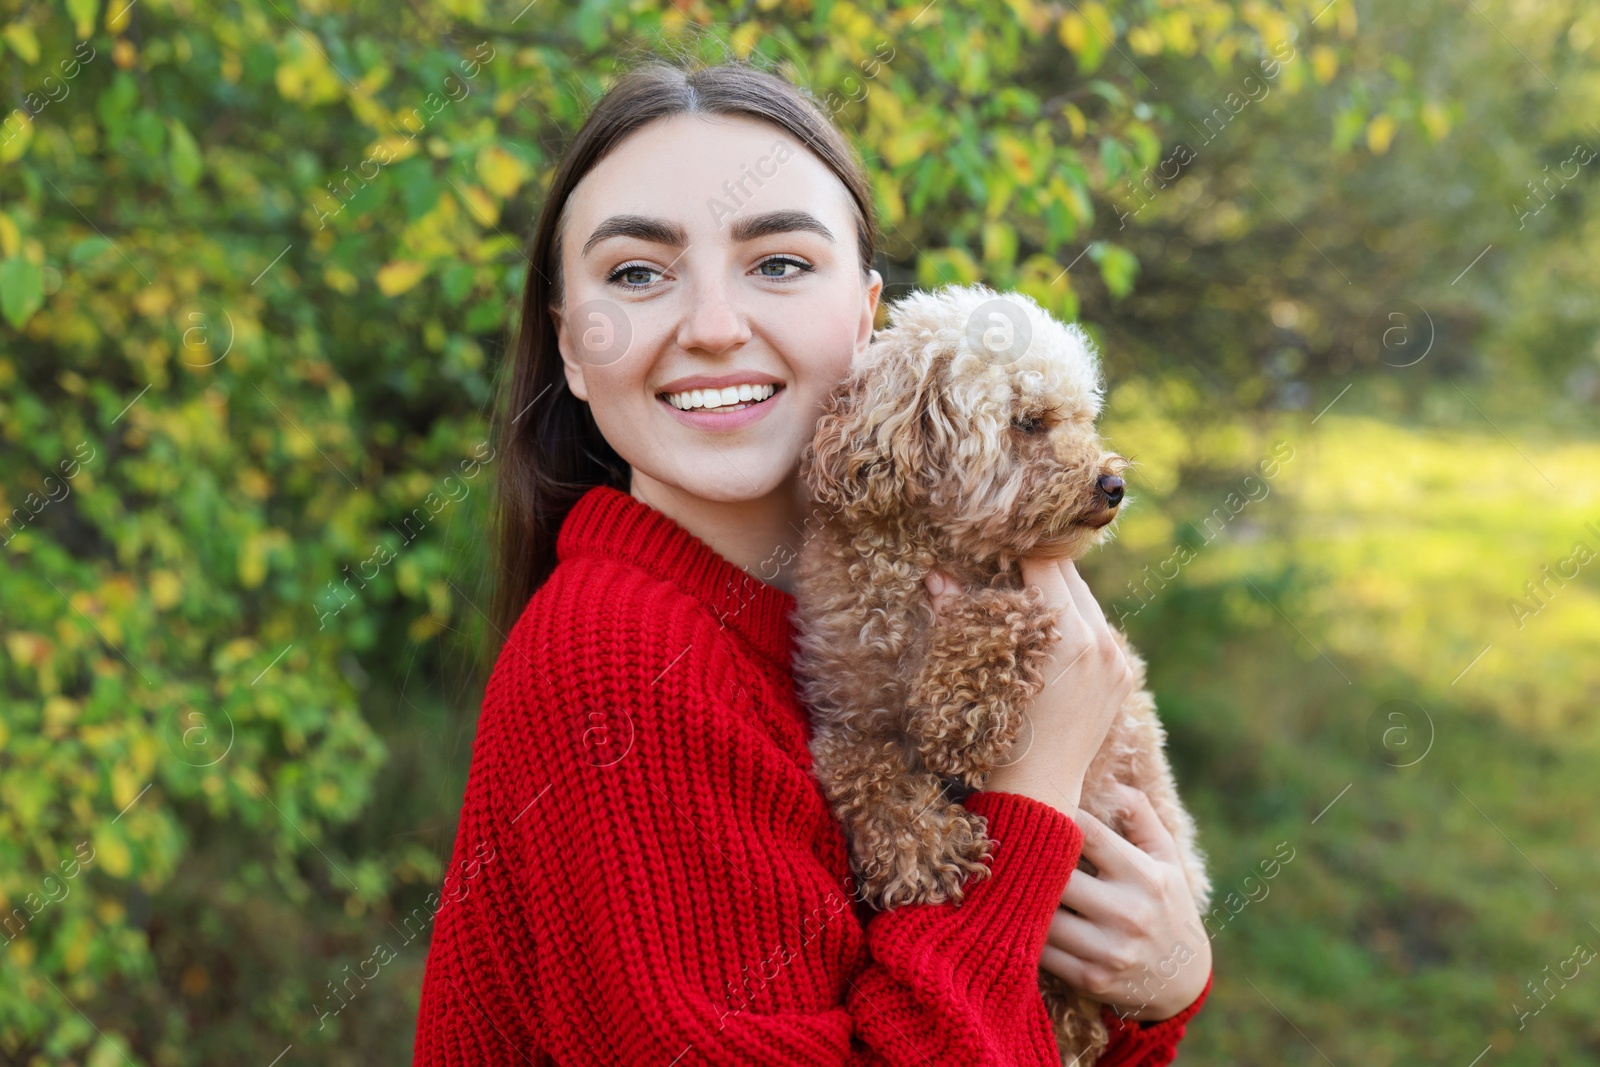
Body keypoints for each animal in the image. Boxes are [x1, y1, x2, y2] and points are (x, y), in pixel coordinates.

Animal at [787, 281, 1209, 1062]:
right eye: (1030, 423)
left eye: (1082, 418)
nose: (1113, 484)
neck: (927, 557)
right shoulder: (845, 713)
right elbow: (862, 768)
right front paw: (923, 849)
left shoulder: (1031, 598)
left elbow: (998, 617)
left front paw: (958, 722)